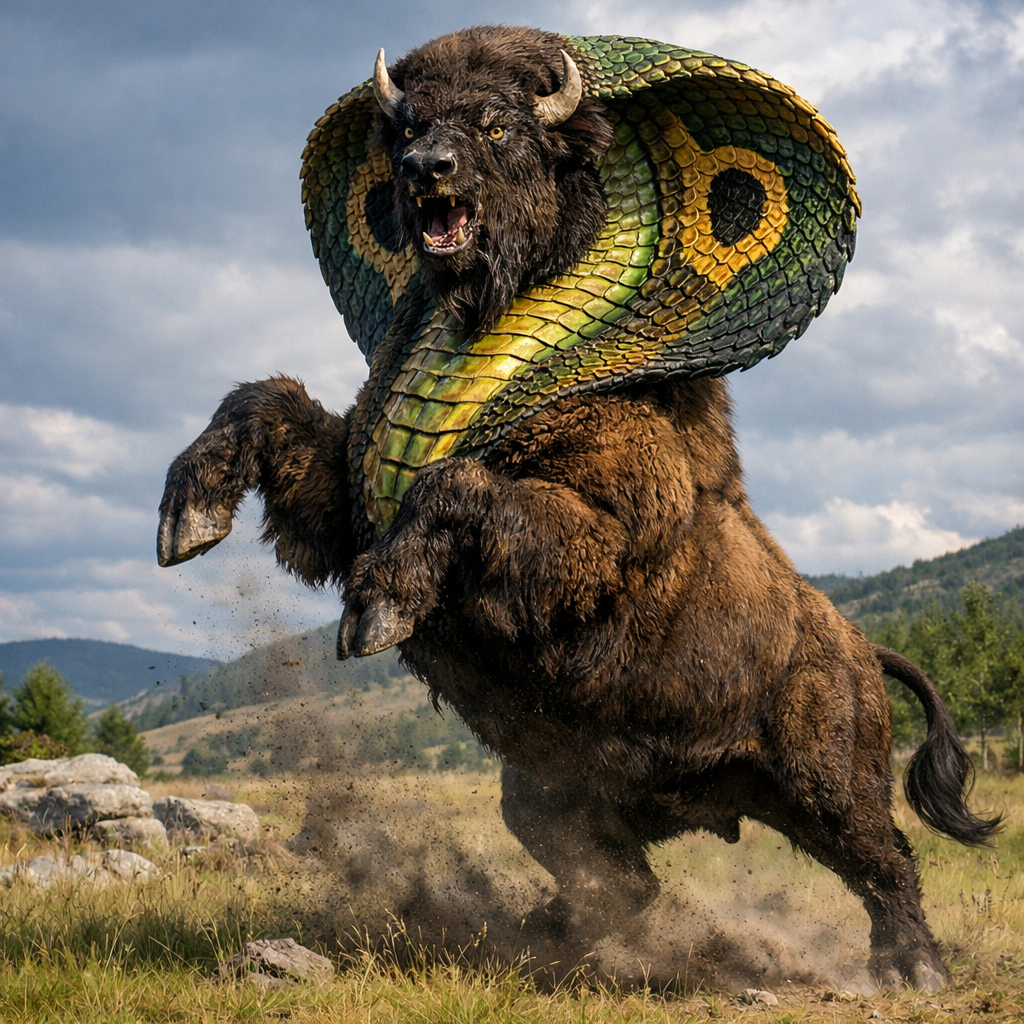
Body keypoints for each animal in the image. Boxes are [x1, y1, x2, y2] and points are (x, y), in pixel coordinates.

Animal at [158, 26, 998, 991]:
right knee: (622, 879)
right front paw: (184, 519)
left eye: (497, 124)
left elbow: (460, 487)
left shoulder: (596, 540)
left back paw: (915, 970)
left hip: (824, 779)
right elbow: (265, 406)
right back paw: (545, 934)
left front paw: (375, 612)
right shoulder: (346, 503)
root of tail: (866, 650)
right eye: (407, 124)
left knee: (883, 857)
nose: (423, 170)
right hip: (547, 793)